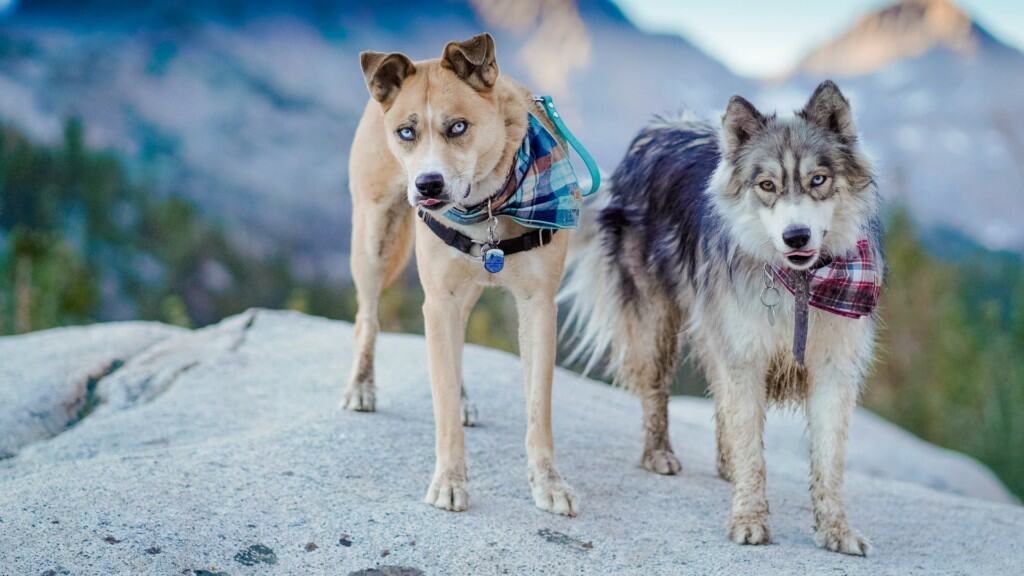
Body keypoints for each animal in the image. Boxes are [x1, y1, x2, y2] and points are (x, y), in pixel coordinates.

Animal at [346, 33, 577, 512]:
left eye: (458, 127)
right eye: (407, 132)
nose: (427, 185)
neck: (488, 206)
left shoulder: (538, 305)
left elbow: (538, 406)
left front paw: (548, 481)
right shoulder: (439, 300)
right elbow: (444, 403)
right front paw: (450, 481)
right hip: (373, 236)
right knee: (367, 317)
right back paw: (361, 386)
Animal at [561, 79, 880, 553]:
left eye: (818, 180)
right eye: (766, 185)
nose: (796, 236)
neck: (801, 283)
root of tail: (655, 130)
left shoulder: (833, 367)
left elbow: (828, 461)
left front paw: (836, 531)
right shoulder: (744, 355)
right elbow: (751, 446)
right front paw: (749, 519)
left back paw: (724, 463)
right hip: (656, 325)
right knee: (657, 390)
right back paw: (658, 454)